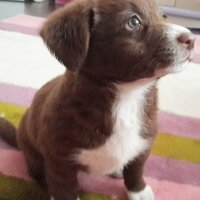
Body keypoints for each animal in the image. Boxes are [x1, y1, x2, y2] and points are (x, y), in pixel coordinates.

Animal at [0, 0, 195, 200]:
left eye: (163, 16)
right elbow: (64, 189)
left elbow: (135, 170)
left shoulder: (143, 144)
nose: (191, 39)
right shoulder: (59, 159)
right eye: (133, 22)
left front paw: (139, 191)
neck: (127, 96)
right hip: (34, 155)